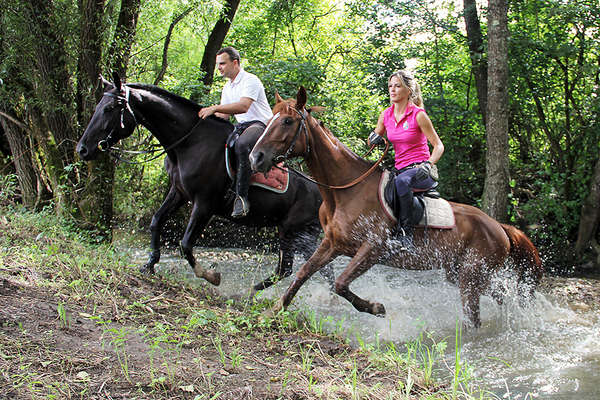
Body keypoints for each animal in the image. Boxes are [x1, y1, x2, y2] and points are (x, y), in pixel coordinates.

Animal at [77, 72, 330, 290]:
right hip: (295, 234)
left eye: (109, 108)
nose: (82, 149)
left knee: (304, 269)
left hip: (295, 232)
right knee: (295, 269)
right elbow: (156, 221)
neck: (190, 142)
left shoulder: (204, 204)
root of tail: (324, 192)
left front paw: (211, 276)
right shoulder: (178, 192)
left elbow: (185, 244)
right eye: (98, 107)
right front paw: (149, 265)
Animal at [250, 87, 544, 328]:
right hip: (462, 274)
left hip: (471, 278)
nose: (256, 158)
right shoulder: (332, 244)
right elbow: (303, 274)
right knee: (502, 296)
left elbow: (341, 283)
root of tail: (500, 228)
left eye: (287, 121)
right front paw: (272, 311)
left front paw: (376, 308)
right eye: (271, 118)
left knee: (475, 317)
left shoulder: (373, 249)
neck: (345, 191)